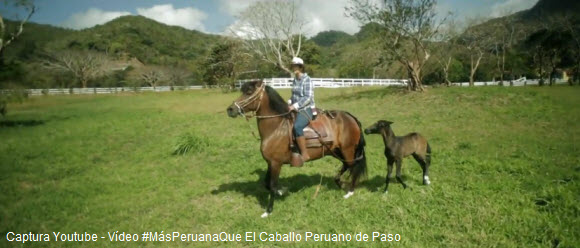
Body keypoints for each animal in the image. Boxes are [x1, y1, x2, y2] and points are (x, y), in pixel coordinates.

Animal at [224, 81, 364, 217]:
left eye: (249, 92)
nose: (230, 109)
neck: (277, 127)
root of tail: (350, 117)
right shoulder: (270, 162)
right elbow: (267, 183)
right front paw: (281, 191)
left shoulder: (276, 163)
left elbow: (272, 185)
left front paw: (268, 210)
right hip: (336, 151)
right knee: (347, 165)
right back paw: (340, 183)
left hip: (347, 149)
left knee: (353, 166)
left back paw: (350, 191)